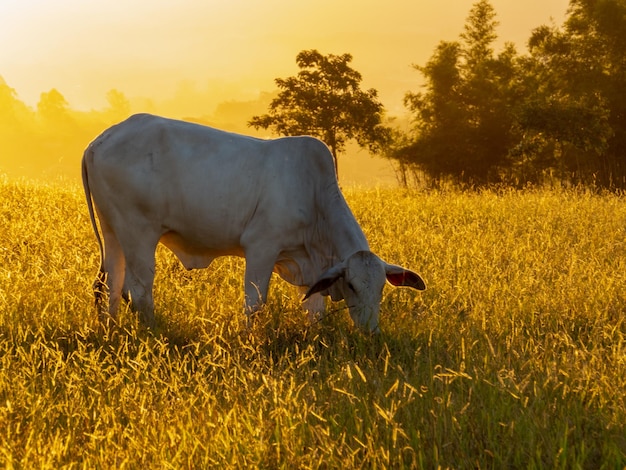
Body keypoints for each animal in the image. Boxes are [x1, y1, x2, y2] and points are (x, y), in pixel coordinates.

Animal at [81, 114, 424, 334]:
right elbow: (255, 303)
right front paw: (249, 341)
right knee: (138, 290)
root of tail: (98, 141)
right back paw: (153, 334)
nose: (371, 332)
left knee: (112, 286)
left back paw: (112, 331)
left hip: (113, 231)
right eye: (352, 285)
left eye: (381, 287)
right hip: (139, 232)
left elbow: (315, 311)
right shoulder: (262, 248)